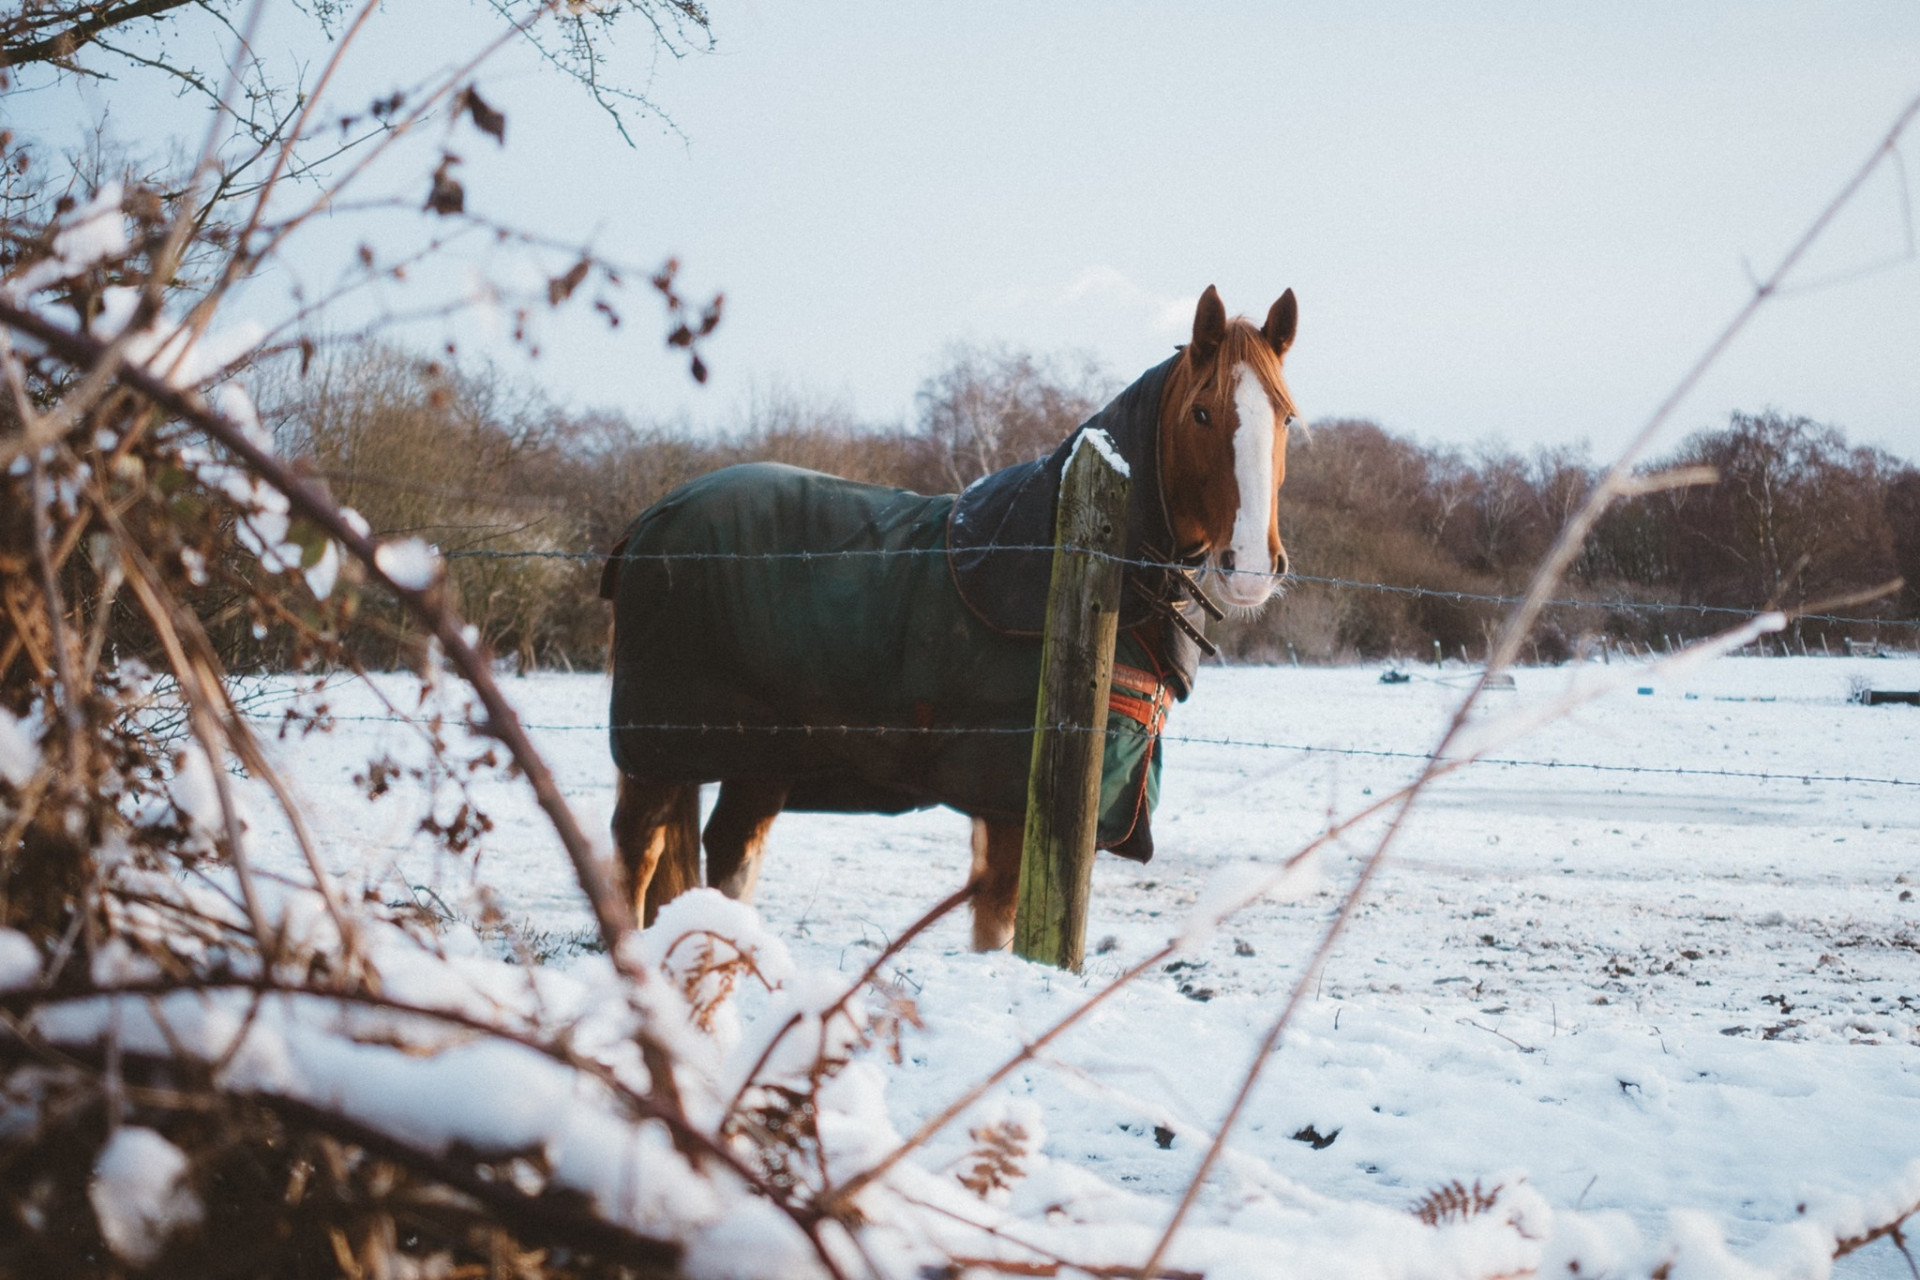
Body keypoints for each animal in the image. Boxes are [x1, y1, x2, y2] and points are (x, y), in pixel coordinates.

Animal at [595, 289, 1290, 951]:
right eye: (1202, 413)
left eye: (1285, 416)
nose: (1252, 567)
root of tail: (651, 520)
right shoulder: (1010, 801)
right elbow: (998, 928)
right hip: (658, 751)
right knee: (638, 852)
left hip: (759, 757)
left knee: (731, 851)